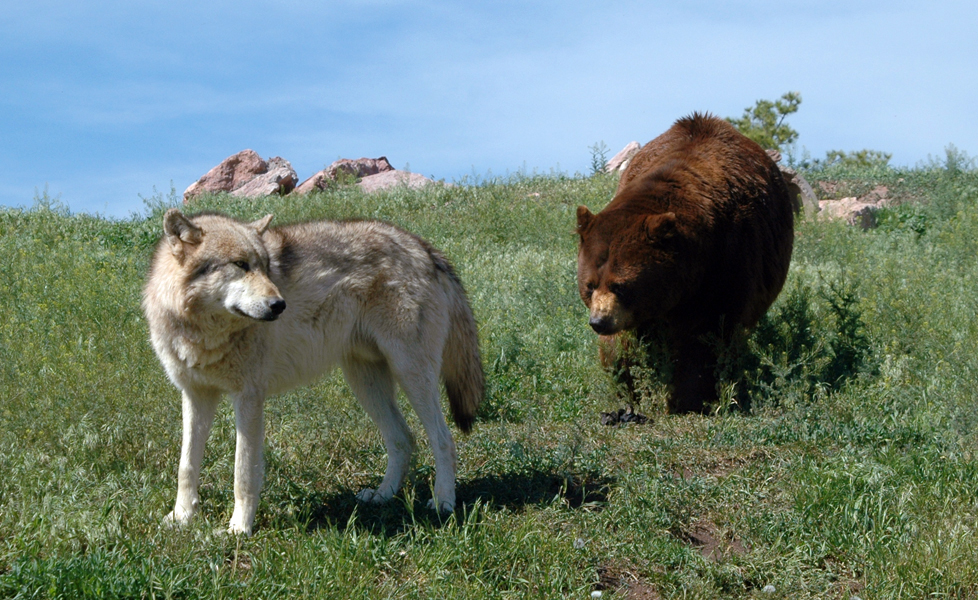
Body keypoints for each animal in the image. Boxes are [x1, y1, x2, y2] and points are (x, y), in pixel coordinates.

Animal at [143, 209, 484, 535]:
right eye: (240, 265)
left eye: (266, 267)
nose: (280, 305)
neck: (202, 332)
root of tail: (424, 247)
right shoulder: (196, 395)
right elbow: (186, 466)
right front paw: (181, 518)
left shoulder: (249, 398)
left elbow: (243, 472)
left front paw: (239, 529)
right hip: (365, 383)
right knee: (404, 438)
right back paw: (383, 495)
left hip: (411, 374)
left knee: (443, 439)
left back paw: (443, 502)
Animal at [576, 113, 794, 414]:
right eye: (589, 285)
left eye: (621, 285)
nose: (599, 322)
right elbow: (624, 345)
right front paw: (627, 384)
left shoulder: (727, 261)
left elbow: (705, 336)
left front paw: (691, 397)